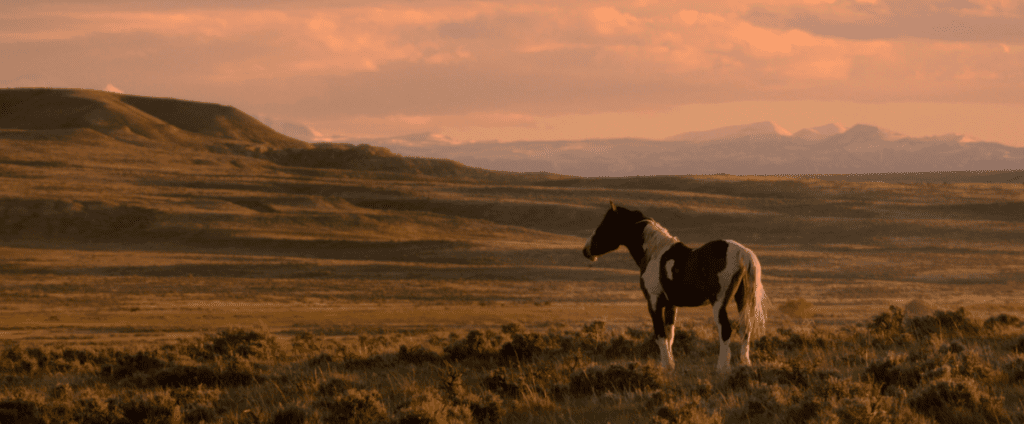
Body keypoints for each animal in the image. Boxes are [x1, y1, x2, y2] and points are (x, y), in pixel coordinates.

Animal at [581, 200, 765, 370]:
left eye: (605, 224)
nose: (586, 250)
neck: (654, 254)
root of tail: (743, 253)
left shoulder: (654, 303)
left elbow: (660, 334)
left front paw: (666, 366)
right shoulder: (671, 305)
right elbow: (670, 335)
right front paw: (672, 364)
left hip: (719, 303)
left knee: (726, 330)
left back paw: (722, 367)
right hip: (742, 299)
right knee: (745, 328)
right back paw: (744, 362)